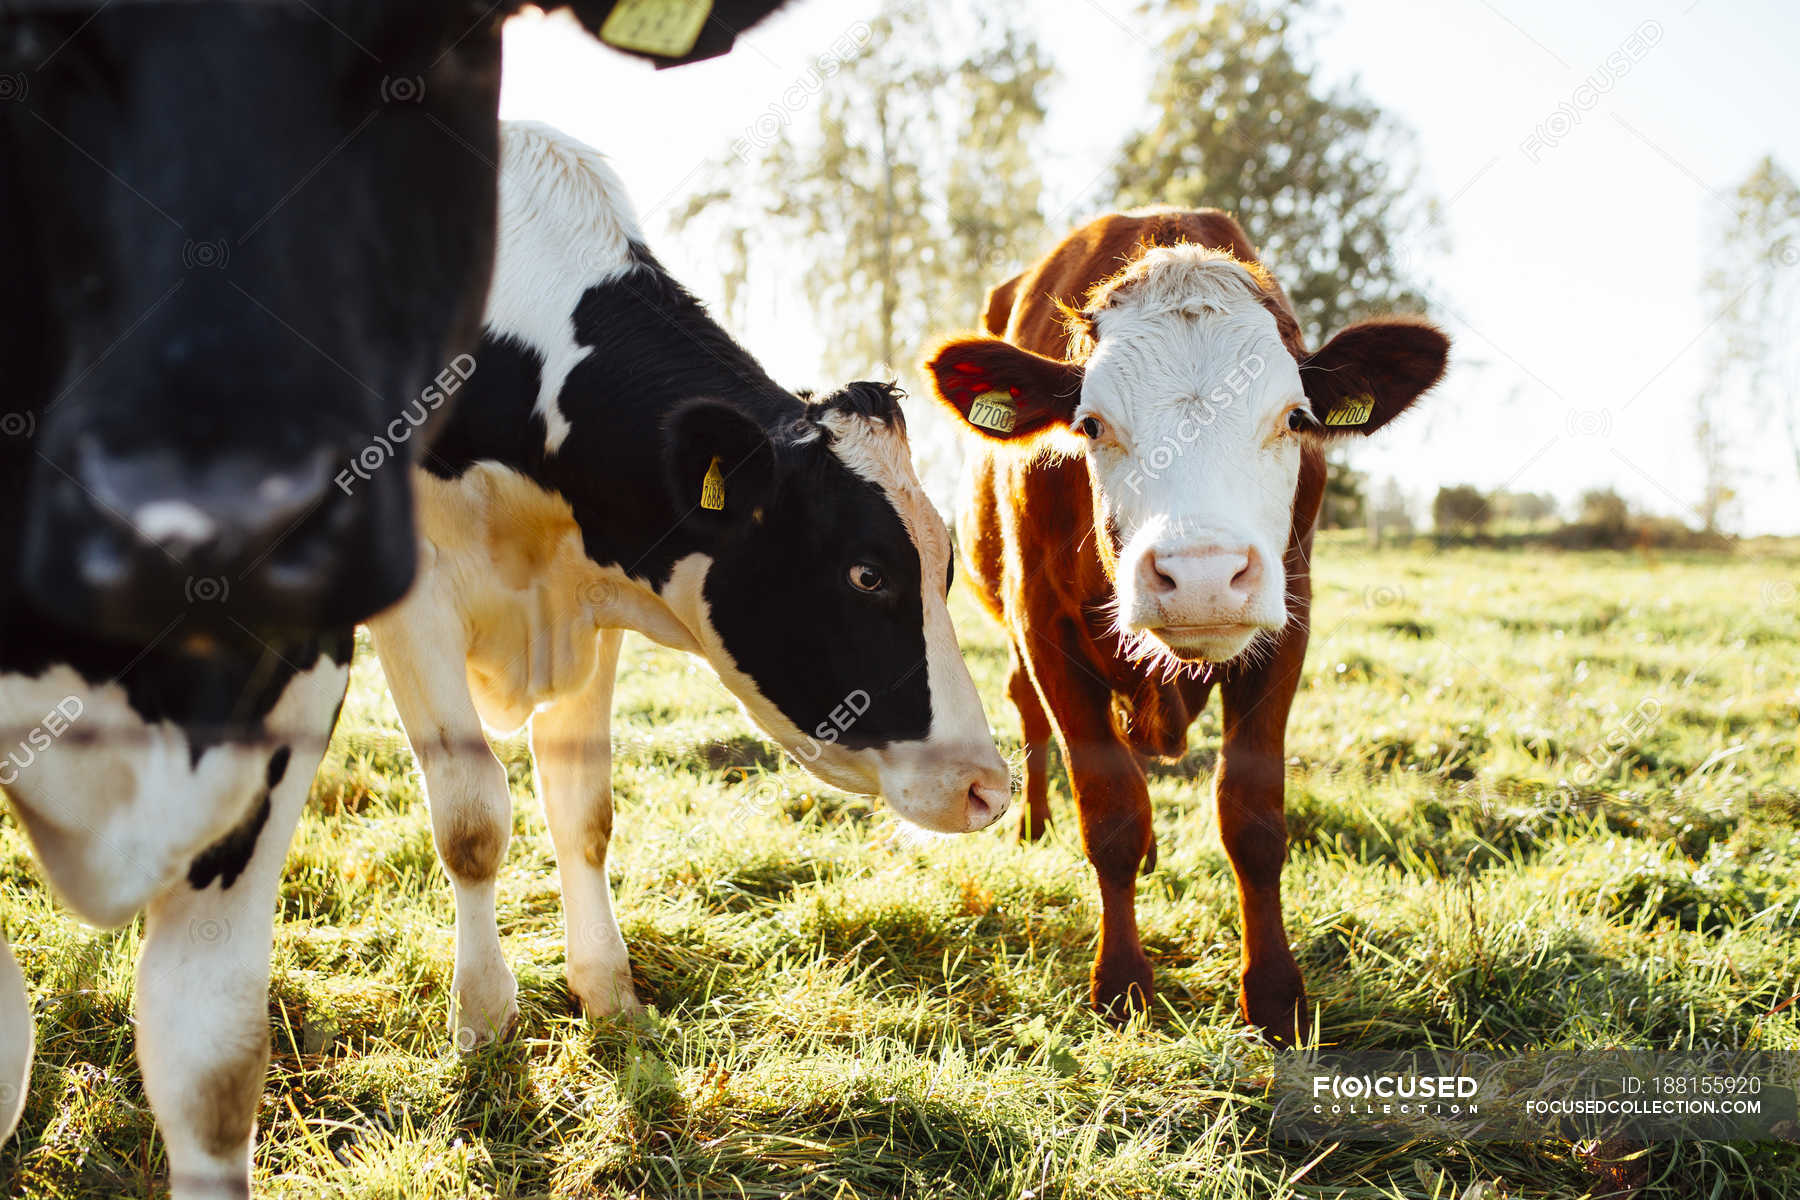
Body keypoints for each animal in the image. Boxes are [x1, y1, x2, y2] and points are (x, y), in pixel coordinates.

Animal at [372, 116, 1015, 1043]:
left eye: (948, 567)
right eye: (866, 573)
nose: (987, 789)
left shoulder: (583, 607)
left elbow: (583, 811)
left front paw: (608, 994)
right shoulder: (416, 602)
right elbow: (472, 816)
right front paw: (485, 1018)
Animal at [928, 208, 1447, 1043]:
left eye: (1295, 418)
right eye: (1091, 424)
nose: (1202, 575)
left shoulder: (1287, 626)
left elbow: (1251, 815)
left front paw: (1274, 995)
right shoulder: (1045, 628)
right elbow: (1109, 810)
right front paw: (1121, 983)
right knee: (1028, 713)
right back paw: (1035, 823)